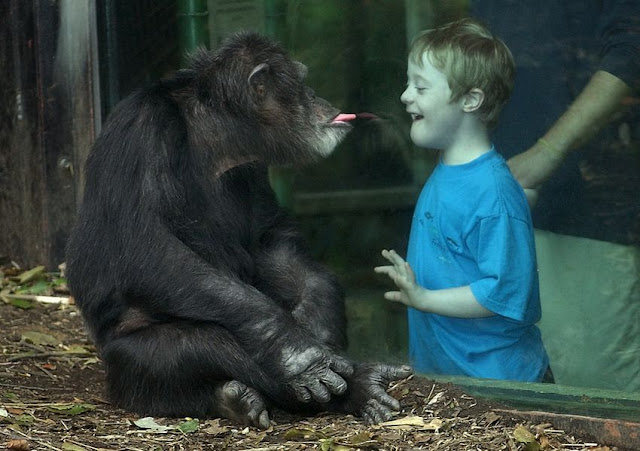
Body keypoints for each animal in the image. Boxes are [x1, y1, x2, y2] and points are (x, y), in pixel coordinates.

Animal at [67, 32, 410, 430]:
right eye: (302, 82)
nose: (316, 96)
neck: (215, 132)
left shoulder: (254, 166)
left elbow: (268, 240)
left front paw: (318, 318)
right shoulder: (141, 129)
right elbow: (149, 247)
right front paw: (298, 354)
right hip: (119, 355)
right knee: (200, 346)